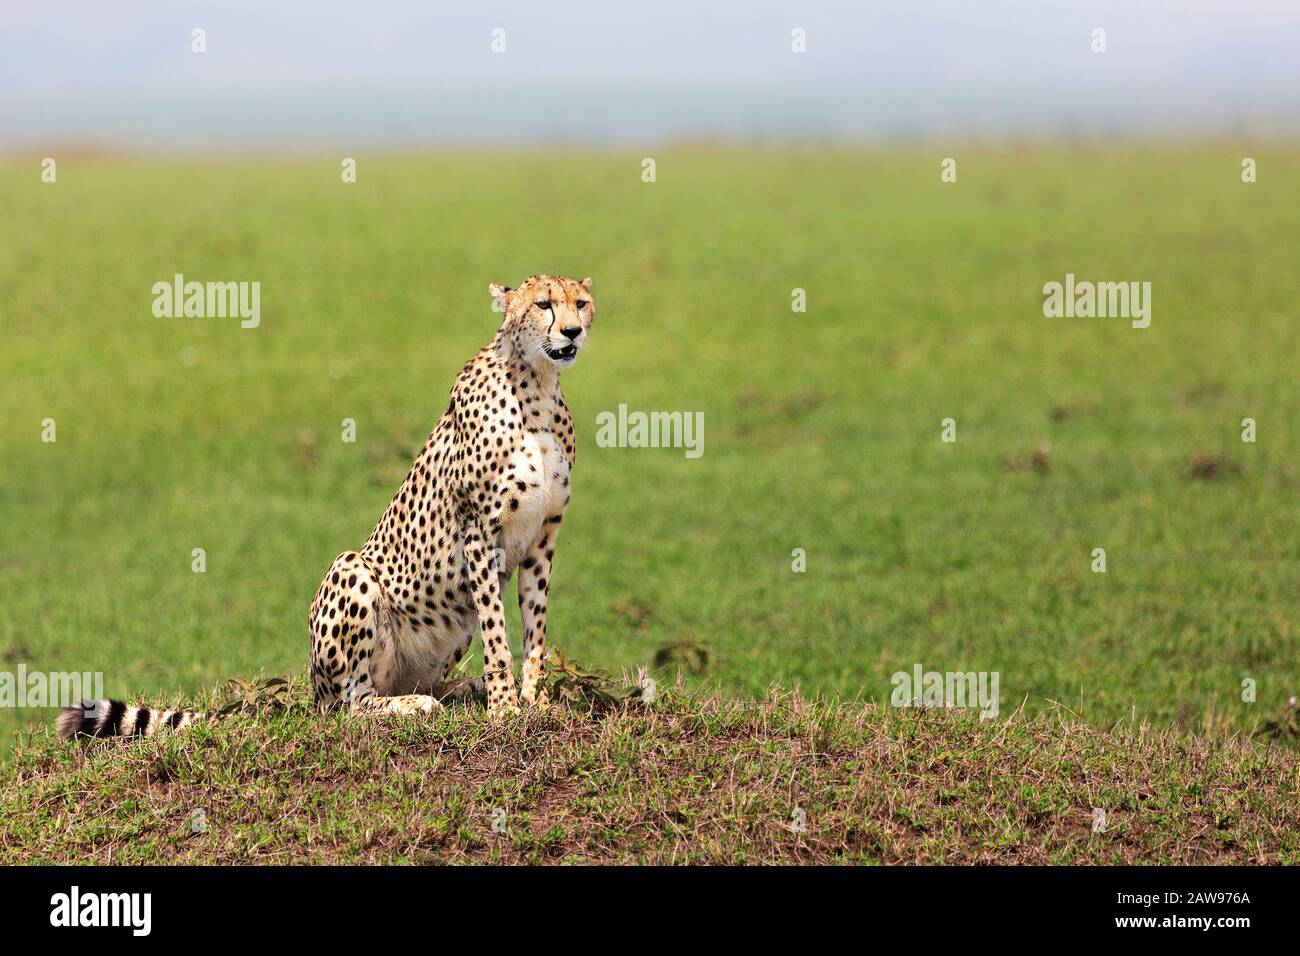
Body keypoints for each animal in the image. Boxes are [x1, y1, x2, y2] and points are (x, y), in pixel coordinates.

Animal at [55, 273, 595, 738]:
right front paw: (505, 707)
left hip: (448, 621)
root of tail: (314, 695)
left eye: (581, 303)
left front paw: (532, 701)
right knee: (351, 704)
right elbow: (498, 633)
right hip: (352, 573)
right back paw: (416, 703)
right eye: (543, 304)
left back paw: (462, 688)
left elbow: (534, 626)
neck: (537, 384)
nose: (572, 331)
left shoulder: (543, 535)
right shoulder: (478, 530)